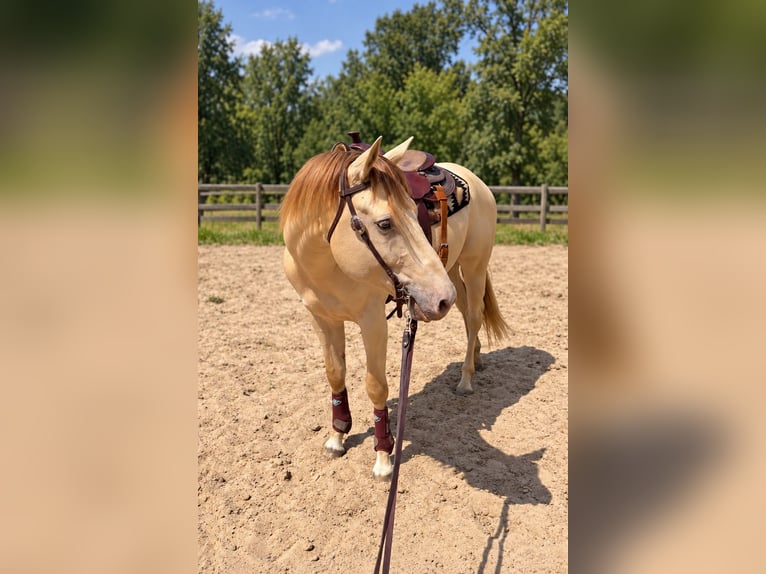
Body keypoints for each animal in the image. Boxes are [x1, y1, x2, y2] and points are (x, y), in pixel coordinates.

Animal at [280, 136, 508, 479]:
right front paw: (337, 436)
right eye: (385, 224)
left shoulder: (373, 321)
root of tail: (476, 182)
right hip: (452, 273)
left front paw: (384, 457)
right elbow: (335, 374)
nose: (440, 298)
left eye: (414, 211)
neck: (327, 263)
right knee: (466, 314)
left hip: (474, 267)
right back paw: (477, 357)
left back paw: (466, 379)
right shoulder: (321, 318)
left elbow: (376, 386)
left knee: (473, 315)